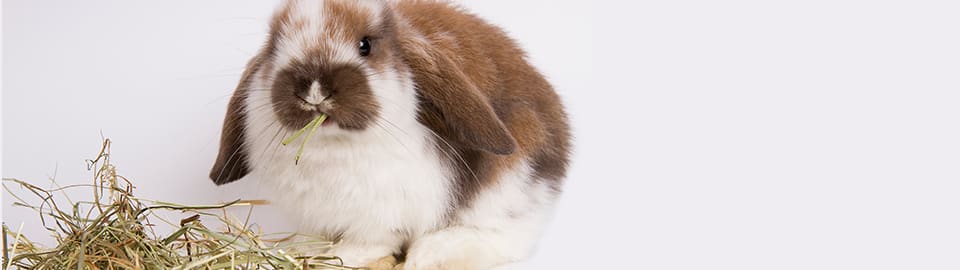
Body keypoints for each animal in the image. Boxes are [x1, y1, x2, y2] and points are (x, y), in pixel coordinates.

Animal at [207, 0, 568, 268]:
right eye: (274, 45)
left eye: (365, 45)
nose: (314, 89)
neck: (331, 147)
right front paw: (301, 249)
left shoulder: (383, 212)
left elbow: (371, 240)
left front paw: (344, 256)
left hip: (509, 186)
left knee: (504, 235)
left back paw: (430, 253)